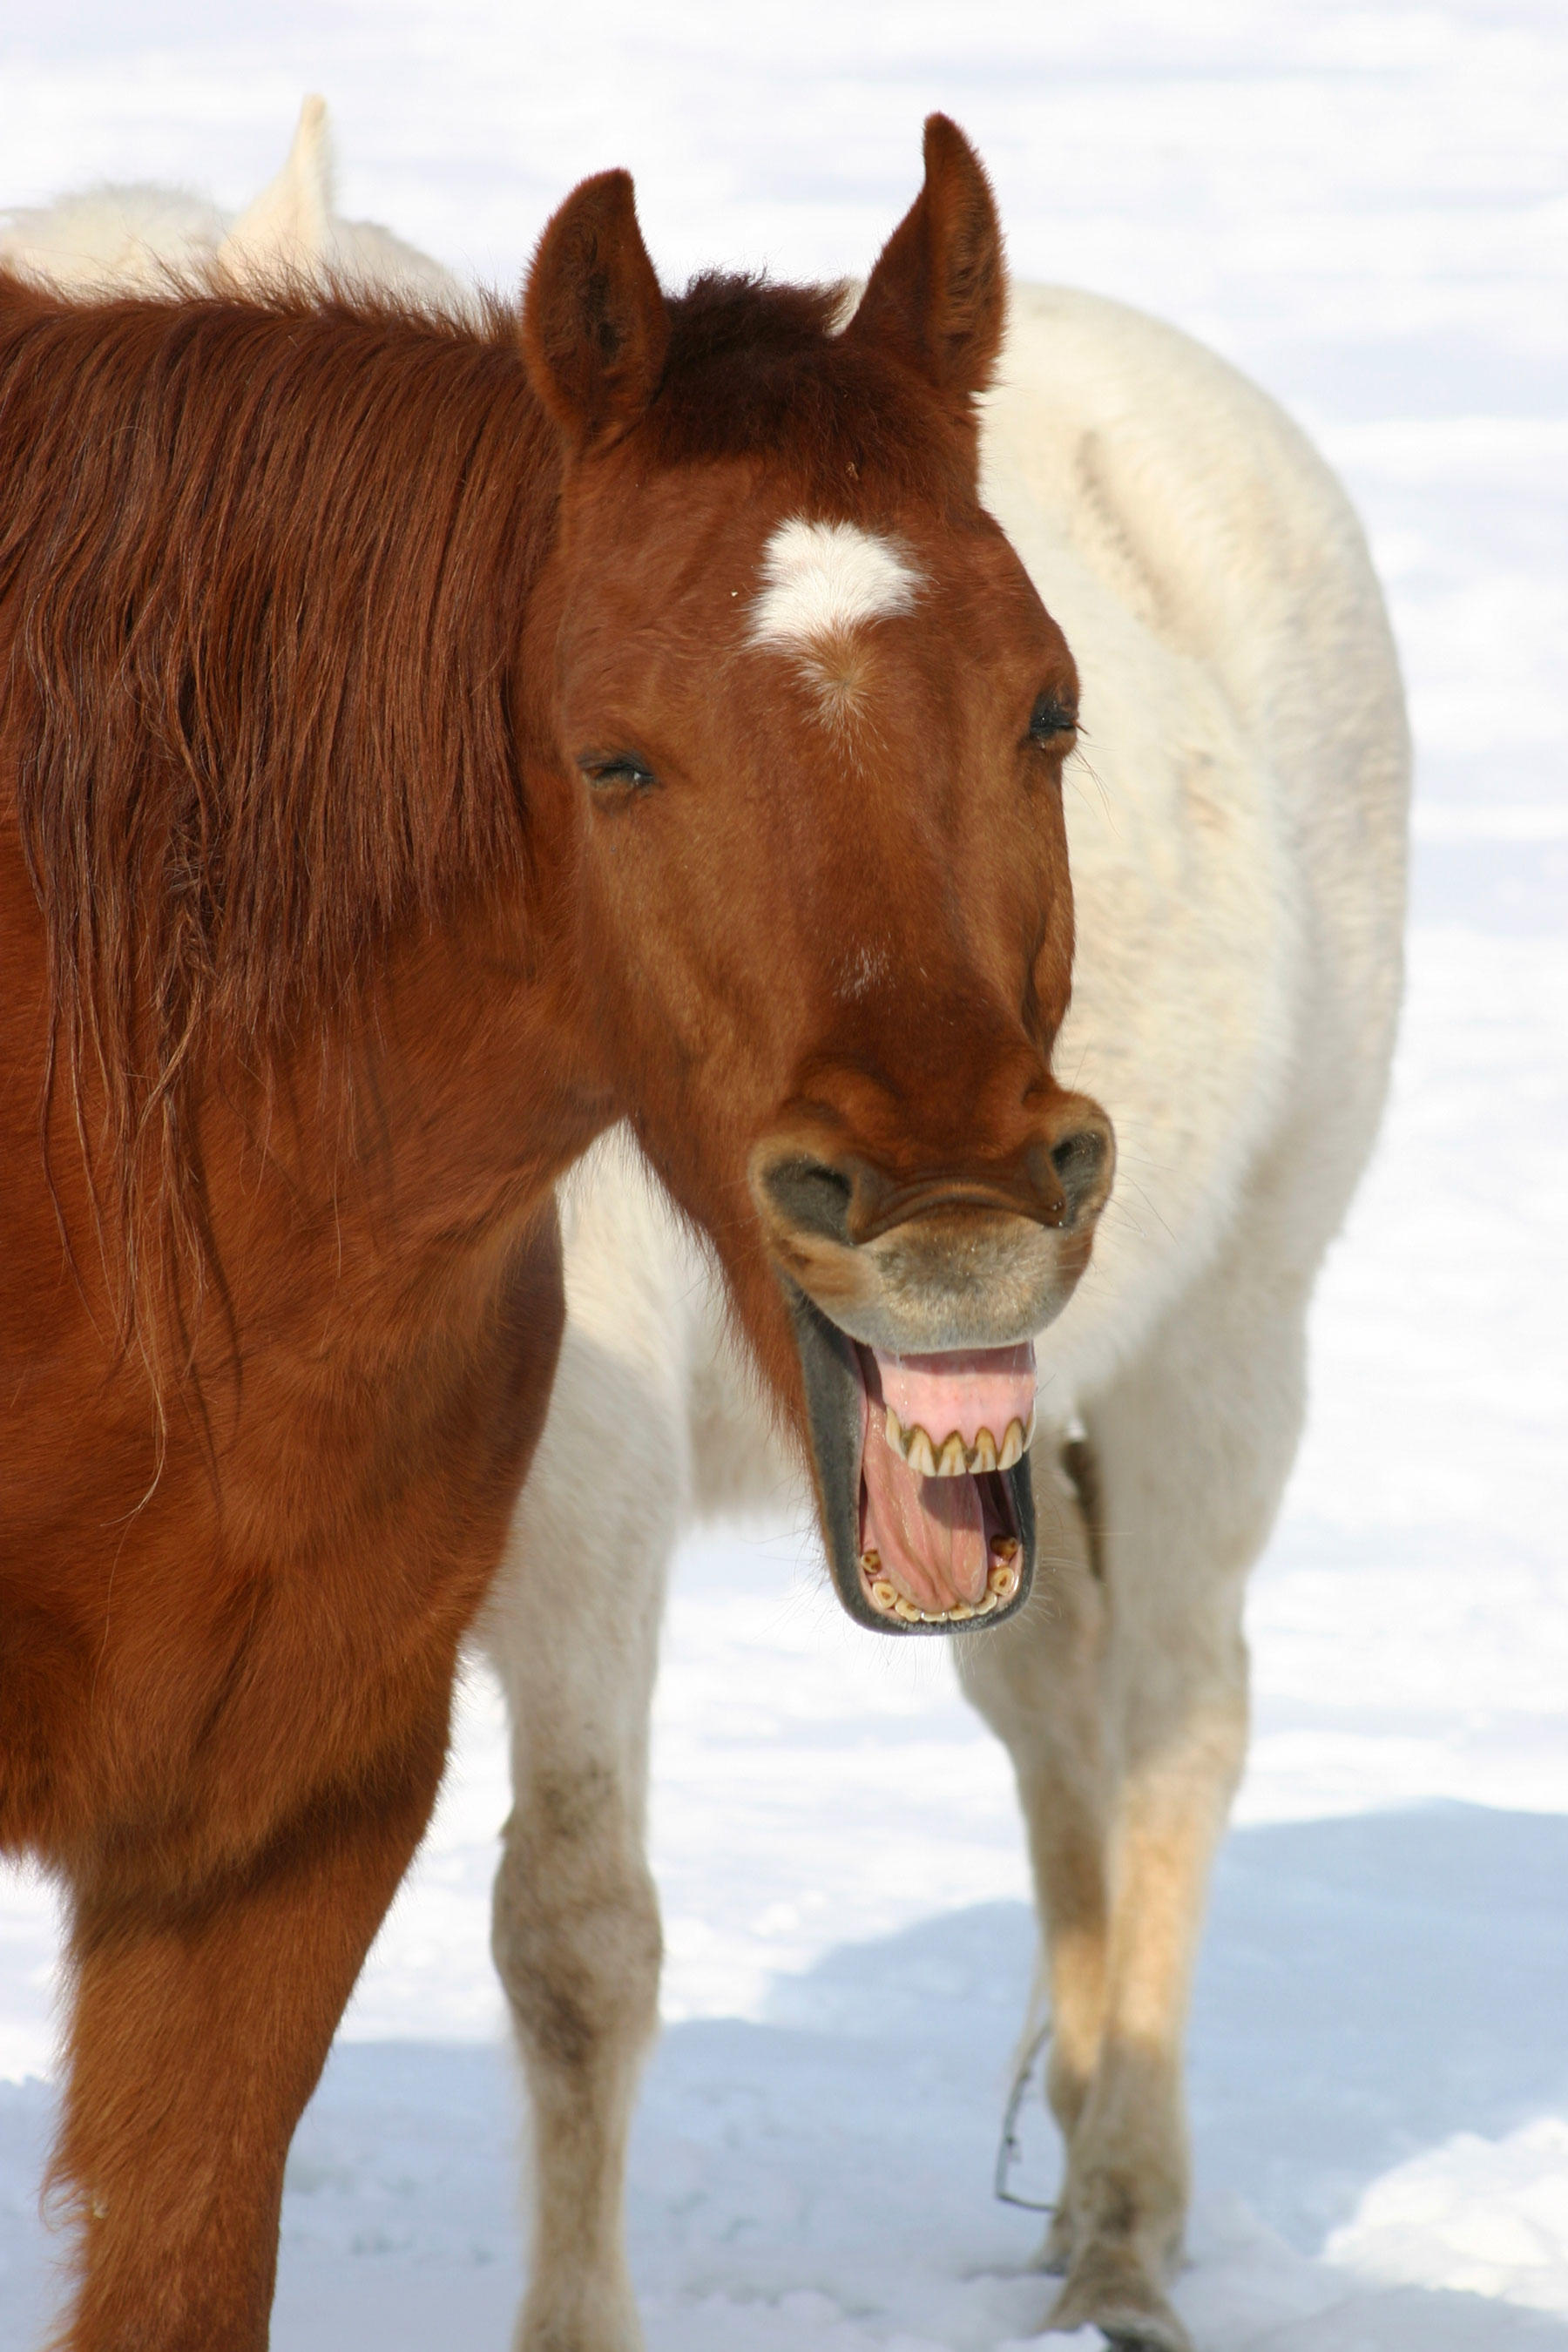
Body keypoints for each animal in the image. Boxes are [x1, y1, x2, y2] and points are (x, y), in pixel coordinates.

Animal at [9, 105, 1410, 2352]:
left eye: (1051, 713)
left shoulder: (572, 1518)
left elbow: (575, 1943)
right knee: (1056, 1710)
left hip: (1231, 1330)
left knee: (1179, 1722)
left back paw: (1125, 2217)